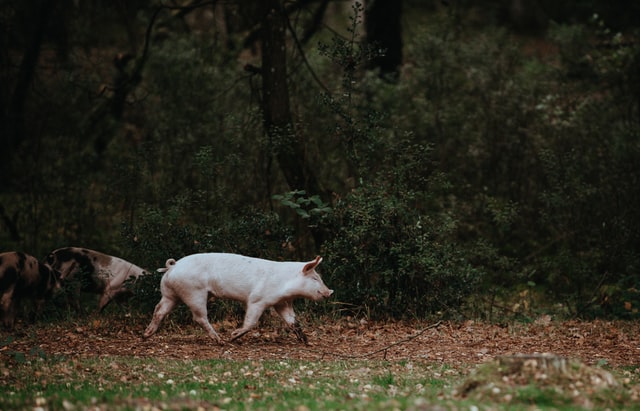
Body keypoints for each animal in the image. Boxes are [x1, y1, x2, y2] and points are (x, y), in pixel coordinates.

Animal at [142, 254, 332, 344]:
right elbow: (251, 321)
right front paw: (233, 336)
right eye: (315, 278)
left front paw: (306, 342)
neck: (285, 284)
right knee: (199, 317)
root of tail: (173, 266)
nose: (330, 292)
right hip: (194, 292)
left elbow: (293, 321)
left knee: (159, 310)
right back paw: (221, 341)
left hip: (170, 294)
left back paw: (146, 335)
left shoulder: (281, 303)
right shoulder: (257, 300)